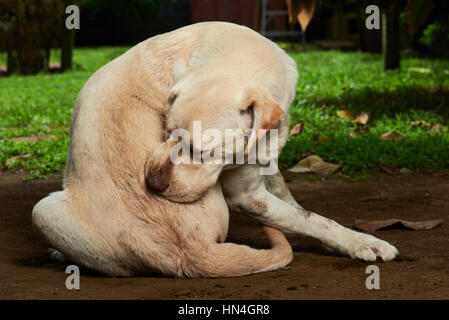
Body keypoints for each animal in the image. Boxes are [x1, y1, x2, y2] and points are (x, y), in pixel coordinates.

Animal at [32, 21, 396, 278]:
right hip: (41, 210)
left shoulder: (264, 169)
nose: (151, 183)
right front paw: (364, 242)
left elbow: (299, 208)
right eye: (166, 131)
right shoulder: (246, 196)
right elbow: (314, 219)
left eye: (203, 151)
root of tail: (188, 253)